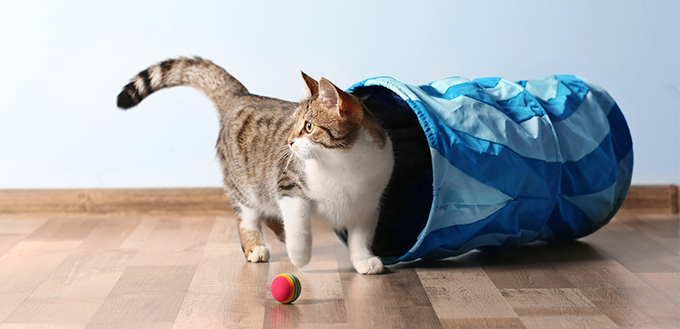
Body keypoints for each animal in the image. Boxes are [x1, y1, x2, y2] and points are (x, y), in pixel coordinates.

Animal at [118, 57, 394, 274]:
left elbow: (360, 238)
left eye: (308, 126)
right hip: (244, 186)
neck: (344, 162)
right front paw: (299, 255)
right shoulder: (288, 184)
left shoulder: (368, 204)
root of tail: (240, 96)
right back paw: (256, 247)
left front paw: (364, 261)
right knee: (248, 217)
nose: (289, 141)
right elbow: (299, 226)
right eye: (295, 124)